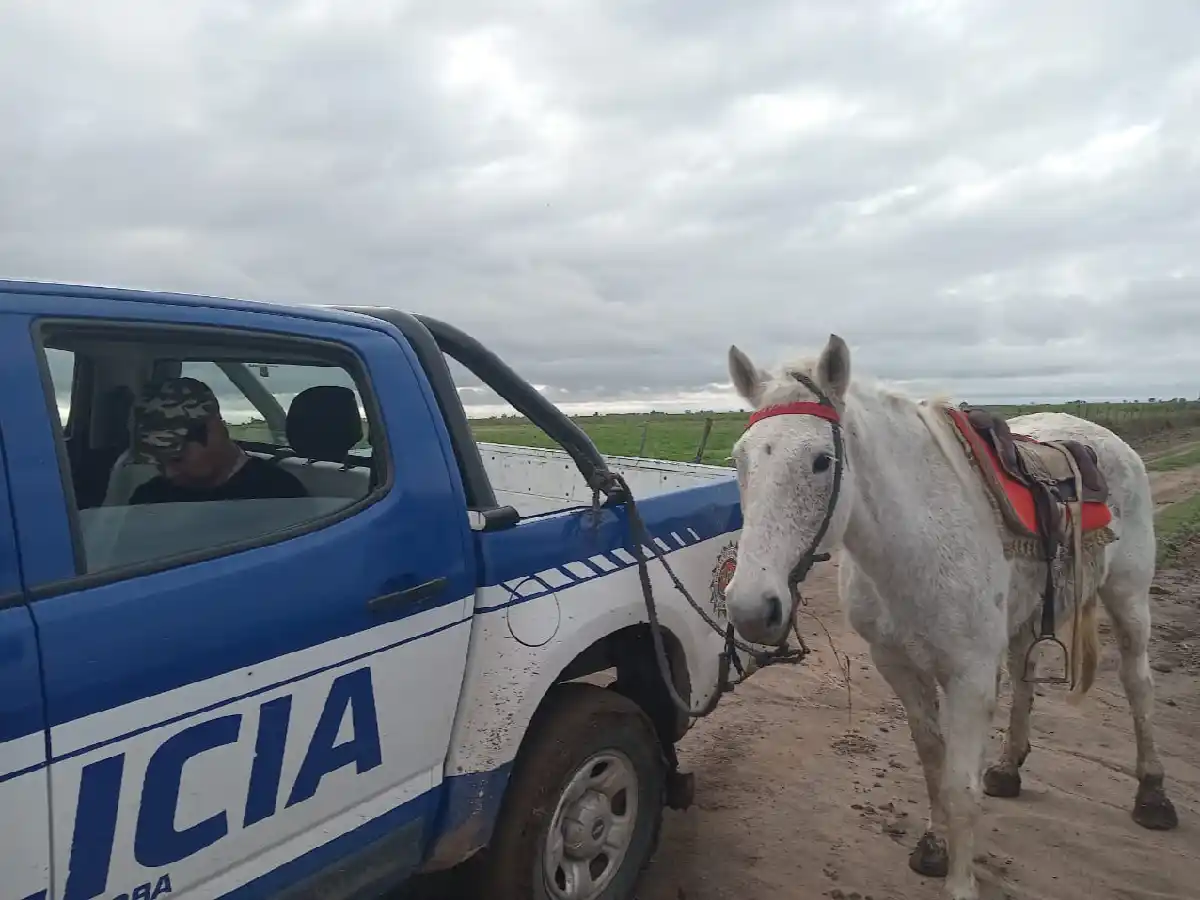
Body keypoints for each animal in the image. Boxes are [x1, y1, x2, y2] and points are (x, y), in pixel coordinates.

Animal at [721, 333, 1178, 900]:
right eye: (740, 461)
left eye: (822, 461)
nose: (749, 607)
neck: (913, 542)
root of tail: (1104, 439)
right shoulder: (896, 665)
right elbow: (933, 761)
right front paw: (934, 848)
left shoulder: (968, 676)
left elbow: (961, 788)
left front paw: (960, 883)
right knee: (1026, 676)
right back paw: (1008, 768)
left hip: (1129, 597)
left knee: (1139, 684)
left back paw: (1152, 793)